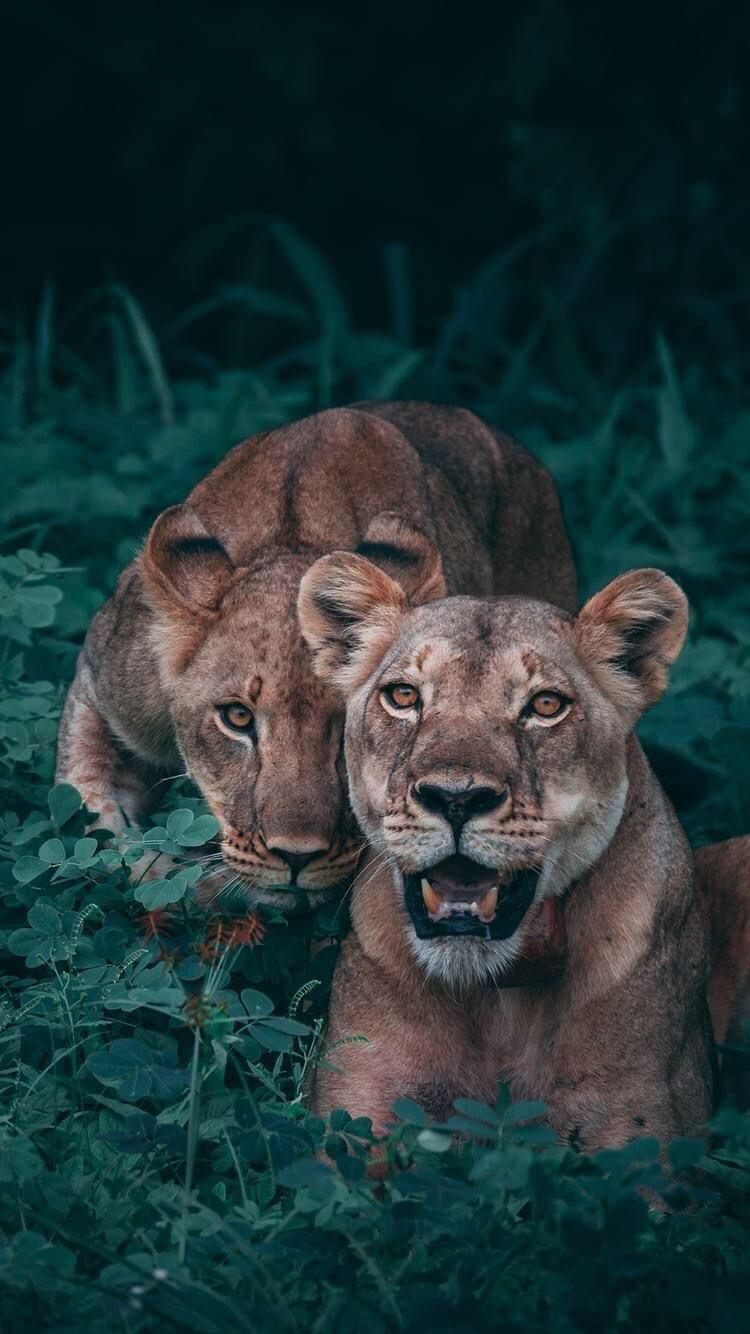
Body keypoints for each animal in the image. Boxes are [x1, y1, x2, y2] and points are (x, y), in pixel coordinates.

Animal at [297, 553, 746, 1149]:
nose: (456, 798)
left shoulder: (639, 1128)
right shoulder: (354, 1111)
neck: (495, 998)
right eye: (404, 696)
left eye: (546, 705)